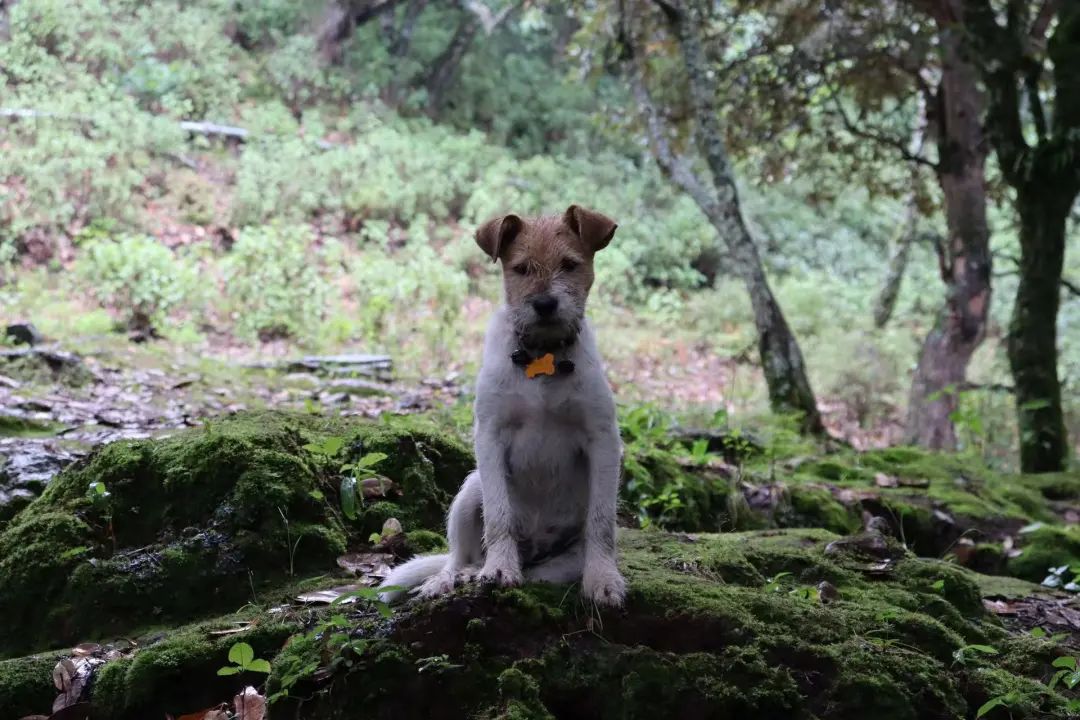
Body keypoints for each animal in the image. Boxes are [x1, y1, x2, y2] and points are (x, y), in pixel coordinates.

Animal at [380, 204, 630, 608]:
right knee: (458, 557)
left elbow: (602, 522)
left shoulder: (603, 439)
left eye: (570, 265)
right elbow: (499, 516)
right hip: (470, 491)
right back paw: (453, 578)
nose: (544, 304)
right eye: (521, 268)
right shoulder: (491, 436)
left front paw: (603, 580)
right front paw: (499, 569)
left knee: (545, 570)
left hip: (560, 562)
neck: (542, 356)